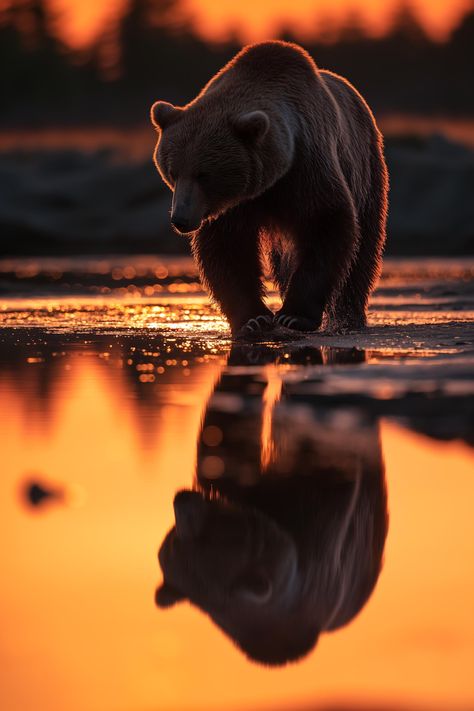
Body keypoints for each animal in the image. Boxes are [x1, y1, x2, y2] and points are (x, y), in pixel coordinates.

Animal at [152, 40, 388, 338]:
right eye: (172, 172)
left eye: (203, 175)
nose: (181, 219)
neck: (271, 179)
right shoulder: (235, 204)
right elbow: (227, 248)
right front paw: (252, 319)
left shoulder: (306, 167)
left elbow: (326, 222)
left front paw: (294, 316)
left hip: (367, 168)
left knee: (364, 247)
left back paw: (348, 317)